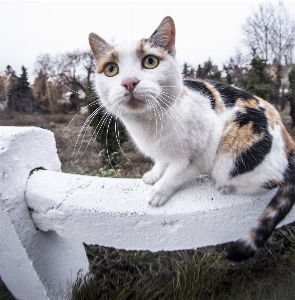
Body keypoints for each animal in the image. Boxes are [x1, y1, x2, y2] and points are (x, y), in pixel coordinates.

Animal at [89, 16, 295, 262]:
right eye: (111, 69)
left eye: (150, 62)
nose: (129, 82)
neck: (149, 126)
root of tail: (287, 138)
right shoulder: (162, 153)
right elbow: (161, 162)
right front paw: (153, 175)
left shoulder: (196, 157)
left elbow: (174, 176)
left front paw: (158, 192)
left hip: (233, 155)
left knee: (270, 180)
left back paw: (225, 186)